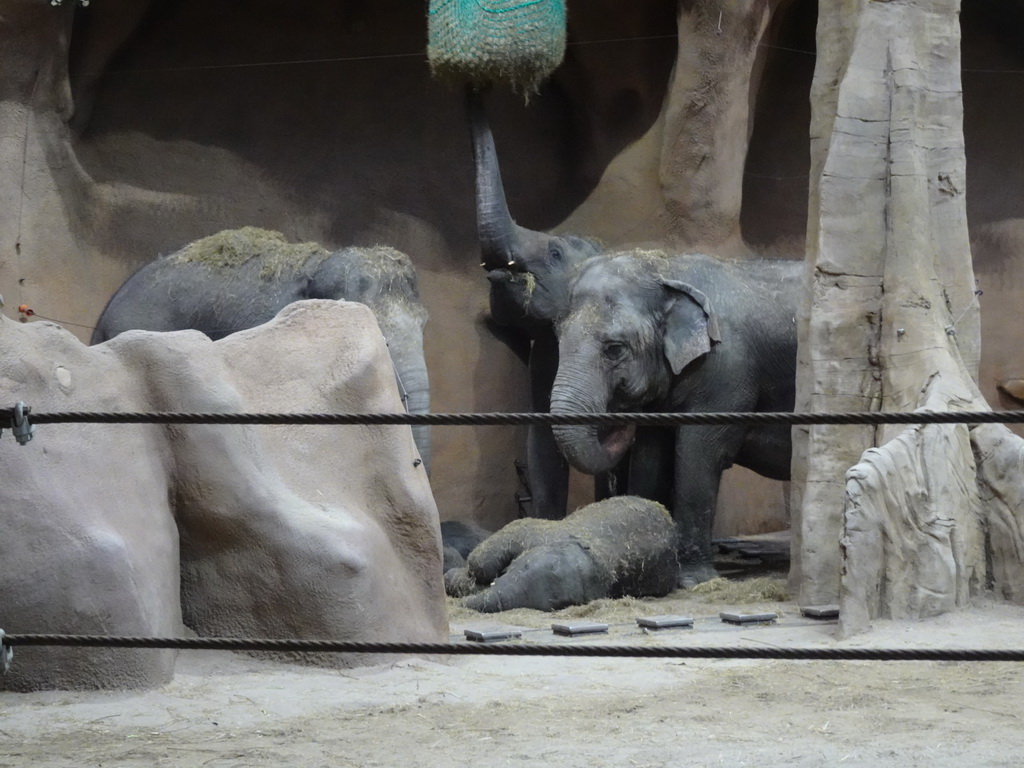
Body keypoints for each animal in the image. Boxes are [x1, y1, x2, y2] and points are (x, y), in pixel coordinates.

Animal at [548, 249, 802, 585]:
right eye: (558, 338)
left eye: (614, 349)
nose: (618, 414)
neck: (667, 268)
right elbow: (651, 456)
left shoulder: (726, 373)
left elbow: (698, 456)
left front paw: (695, 580)